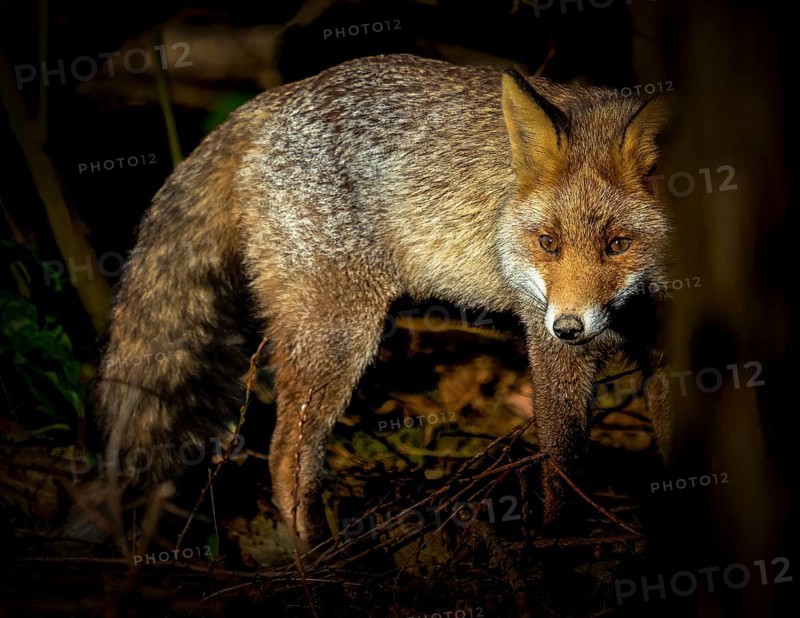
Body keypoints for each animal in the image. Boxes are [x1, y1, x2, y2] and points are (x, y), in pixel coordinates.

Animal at [91, 53, 672, 550]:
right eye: (548, 243)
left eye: (618, 244)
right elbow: (563, 466)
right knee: (285, 457)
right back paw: (316, 563)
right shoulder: (547, 340)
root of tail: (272, 99)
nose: (569, 327)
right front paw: (560, 547)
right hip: (339, 336)